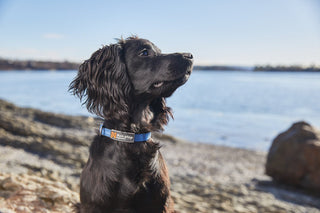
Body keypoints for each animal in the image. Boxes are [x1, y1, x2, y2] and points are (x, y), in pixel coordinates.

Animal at [69, 35, 192, 212]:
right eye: (145, 52)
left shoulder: (161, 202)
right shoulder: (92, 204)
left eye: (160, 51)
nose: (190, 56)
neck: (131, 137)